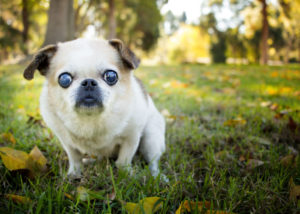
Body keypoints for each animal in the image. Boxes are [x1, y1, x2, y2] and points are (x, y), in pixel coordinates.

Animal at [24, 38, 166, 181]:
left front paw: (125, 174)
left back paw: (157, 176)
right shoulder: (67, 142)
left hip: (151, 139)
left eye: (111, 76)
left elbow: (123, 160)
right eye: (64, 79)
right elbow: (74, 158)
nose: (88, 82)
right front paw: (74, 173)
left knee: (153, 161)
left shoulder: (131, 138)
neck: (90, 119)